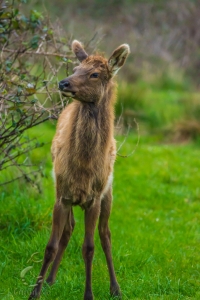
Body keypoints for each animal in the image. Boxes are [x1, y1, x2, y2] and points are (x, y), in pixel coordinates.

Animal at [28, 39, 130, 300]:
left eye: (95, 74)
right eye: (75, 69)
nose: (63, 82)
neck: (83, 167)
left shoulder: (94, 197)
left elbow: (89, 247)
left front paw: (89, 294)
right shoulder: (62, 195)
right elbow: (50, 245)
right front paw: (35, 291)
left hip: (108, 193)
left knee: (106, 235)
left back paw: (116, 288)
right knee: (69, 229)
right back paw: (51, 279)